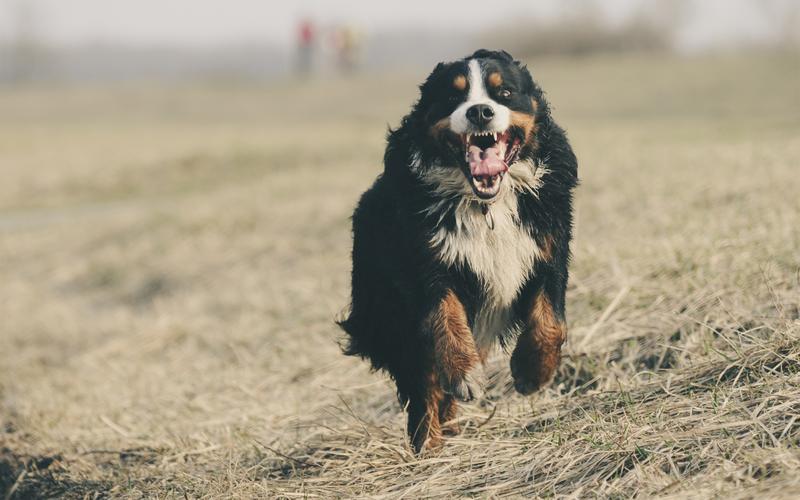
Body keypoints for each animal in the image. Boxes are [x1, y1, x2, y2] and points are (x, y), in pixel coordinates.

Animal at [336, 48, 576, 452]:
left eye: (505, 93)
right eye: (452, 96)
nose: (480, 111)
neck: (487, 205)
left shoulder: (549, 249)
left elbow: (551, 322)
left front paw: (532, 372)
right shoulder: (427, 264)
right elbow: (445, 319)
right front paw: (465, 374)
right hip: (392, 317)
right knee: (423, 386)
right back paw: (429, 444)